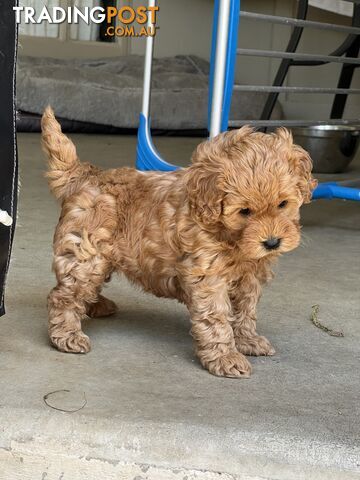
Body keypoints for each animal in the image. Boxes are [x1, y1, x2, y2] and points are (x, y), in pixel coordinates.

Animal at [41, 108, 316, 378]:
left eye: (283, 204)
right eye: (244, 211)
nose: (272, 242)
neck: (230, 237)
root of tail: (85, 174)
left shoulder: (250, 277)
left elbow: (246, 310)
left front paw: (247, 340)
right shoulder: (208, 275)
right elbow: (216, 318)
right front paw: (225, 357)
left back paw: (96, 306)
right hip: (86, 253)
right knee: (64, 295)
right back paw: (68, 335)